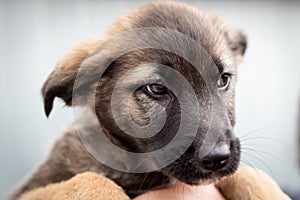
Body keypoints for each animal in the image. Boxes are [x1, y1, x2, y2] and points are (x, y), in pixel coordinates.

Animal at [11, 0, 246, 199]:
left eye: (223, 79)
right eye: (157, 88)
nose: (216, 158)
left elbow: (246, 176)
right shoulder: (34, 188)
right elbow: (92, 180)